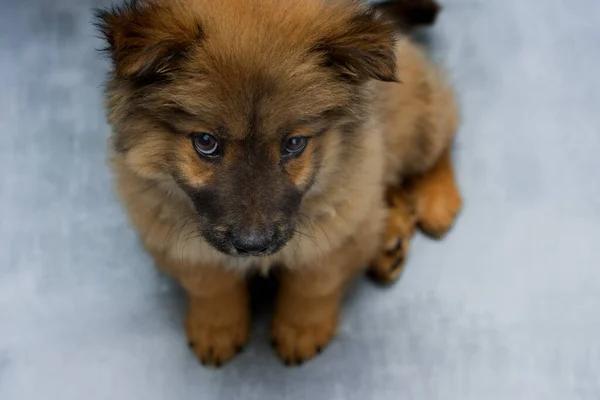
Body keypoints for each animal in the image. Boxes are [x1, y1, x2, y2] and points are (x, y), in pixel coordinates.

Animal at [95, 0, 460, 368]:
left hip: (417, 125)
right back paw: (390, 238)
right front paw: (217, 329)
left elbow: (313, 285)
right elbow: (211, 286)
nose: (252, 245)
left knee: (442, 139)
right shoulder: (172, 234)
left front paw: (300, 330)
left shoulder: (337, 225)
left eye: (294, 143)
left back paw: (436, 201)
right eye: (206, 142)